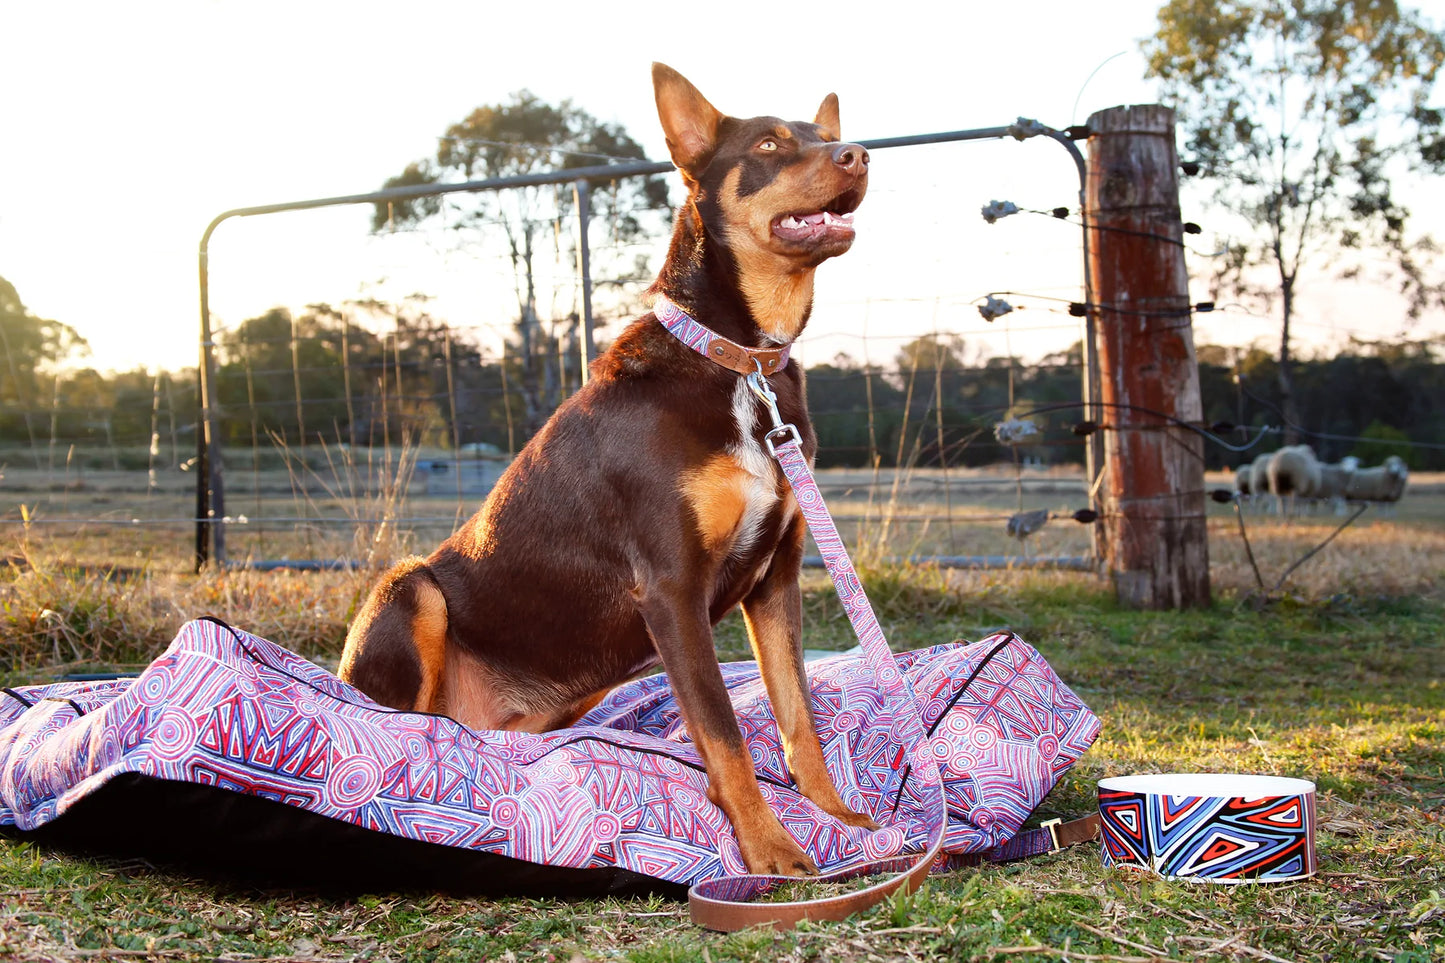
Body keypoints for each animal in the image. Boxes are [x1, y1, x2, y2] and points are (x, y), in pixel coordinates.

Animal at [341, 60, 867, 867]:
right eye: (771, 143)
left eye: (826, 134)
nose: (859, 155)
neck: (740, 360)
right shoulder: (671, 588)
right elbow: (724, 730)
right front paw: (767, 847)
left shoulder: (777, 578)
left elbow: (796, 714)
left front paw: (839, 818)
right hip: (410, 587)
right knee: (405, 719)